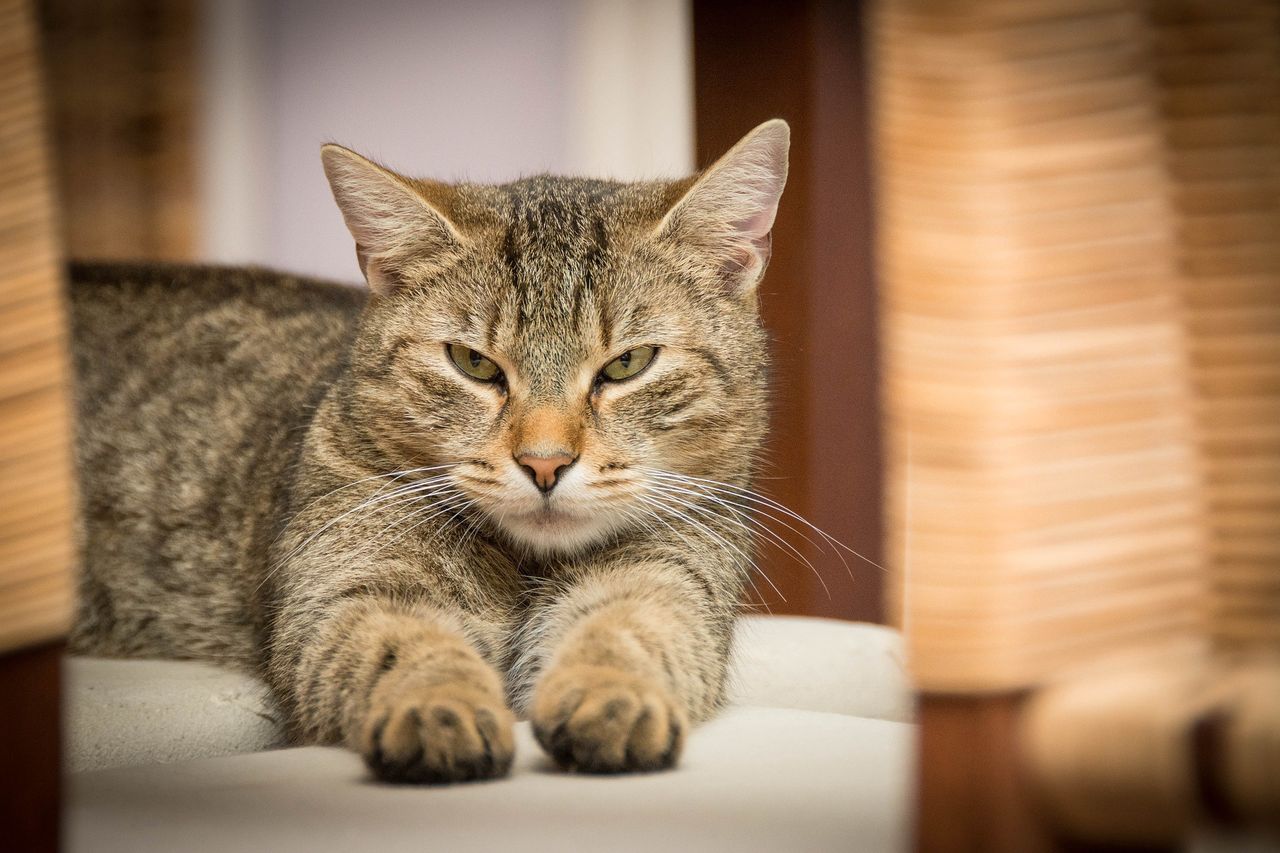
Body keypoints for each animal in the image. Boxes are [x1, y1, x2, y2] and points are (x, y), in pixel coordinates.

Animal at [72, 119, 788, 783]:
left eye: (627, 365)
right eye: (474, 364)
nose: (545, 463)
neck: (525, 565)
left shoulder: (672, 575)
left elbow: (629, 628)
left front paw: (613, 696)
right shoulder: (350, 586)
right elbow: (407, 642)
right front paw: (438, 708)